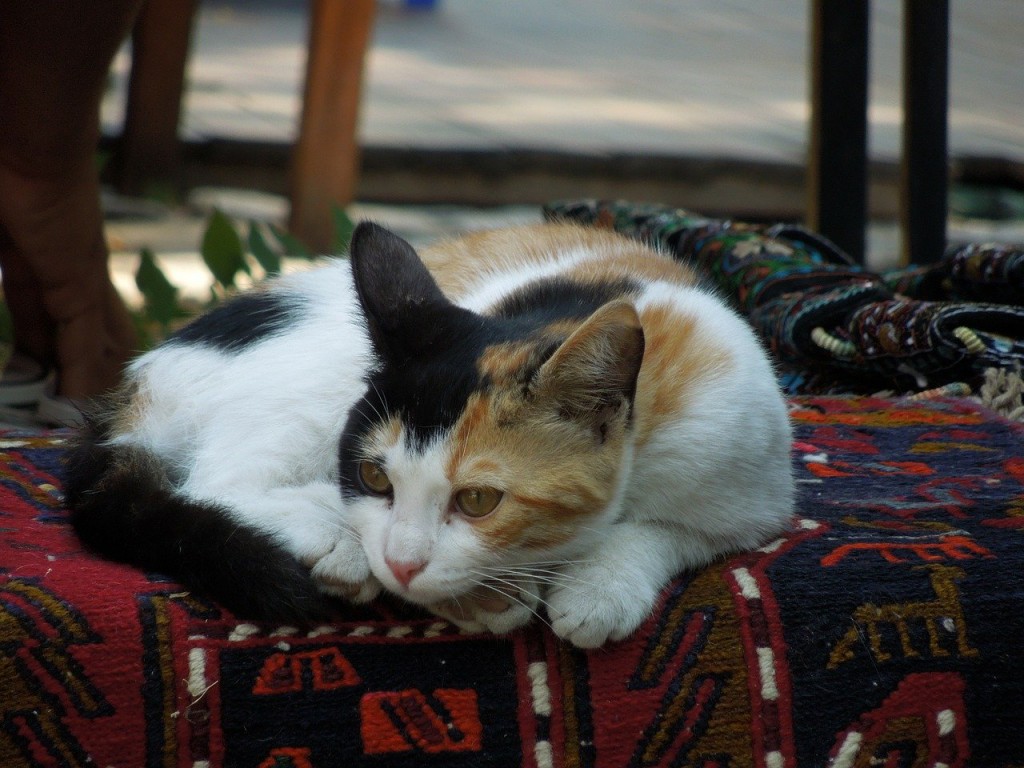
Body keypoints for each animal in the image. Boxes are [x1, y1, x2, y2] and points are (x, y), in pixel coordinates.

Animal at [66, 221, 798, 651]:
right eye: (374, 476)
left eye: (478, 500)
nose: (400, 562)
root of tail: (139, 385)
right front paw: (491, 597)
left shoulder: (748, 481)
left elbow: (675, 532)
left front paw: (598, 588)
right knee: (215, 477)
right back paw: (331, 537)